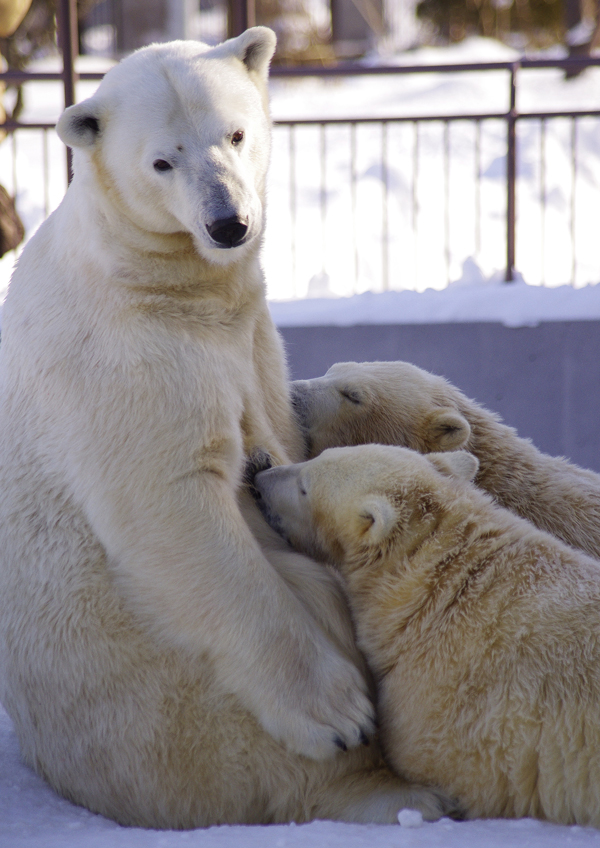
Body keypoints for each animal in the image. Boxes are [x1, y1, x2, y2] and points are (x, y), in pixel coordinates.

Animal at [0, 28, 450, 828]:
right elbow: (171, 500)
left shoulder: (250, 333)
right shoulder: (124, 356)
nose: (229, 222)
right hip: (178, 718)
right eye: (162, 160)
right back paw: (391, 790)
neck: (164, 280)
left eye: (236, 133)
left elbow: (277, 427)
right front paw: (338, 712)